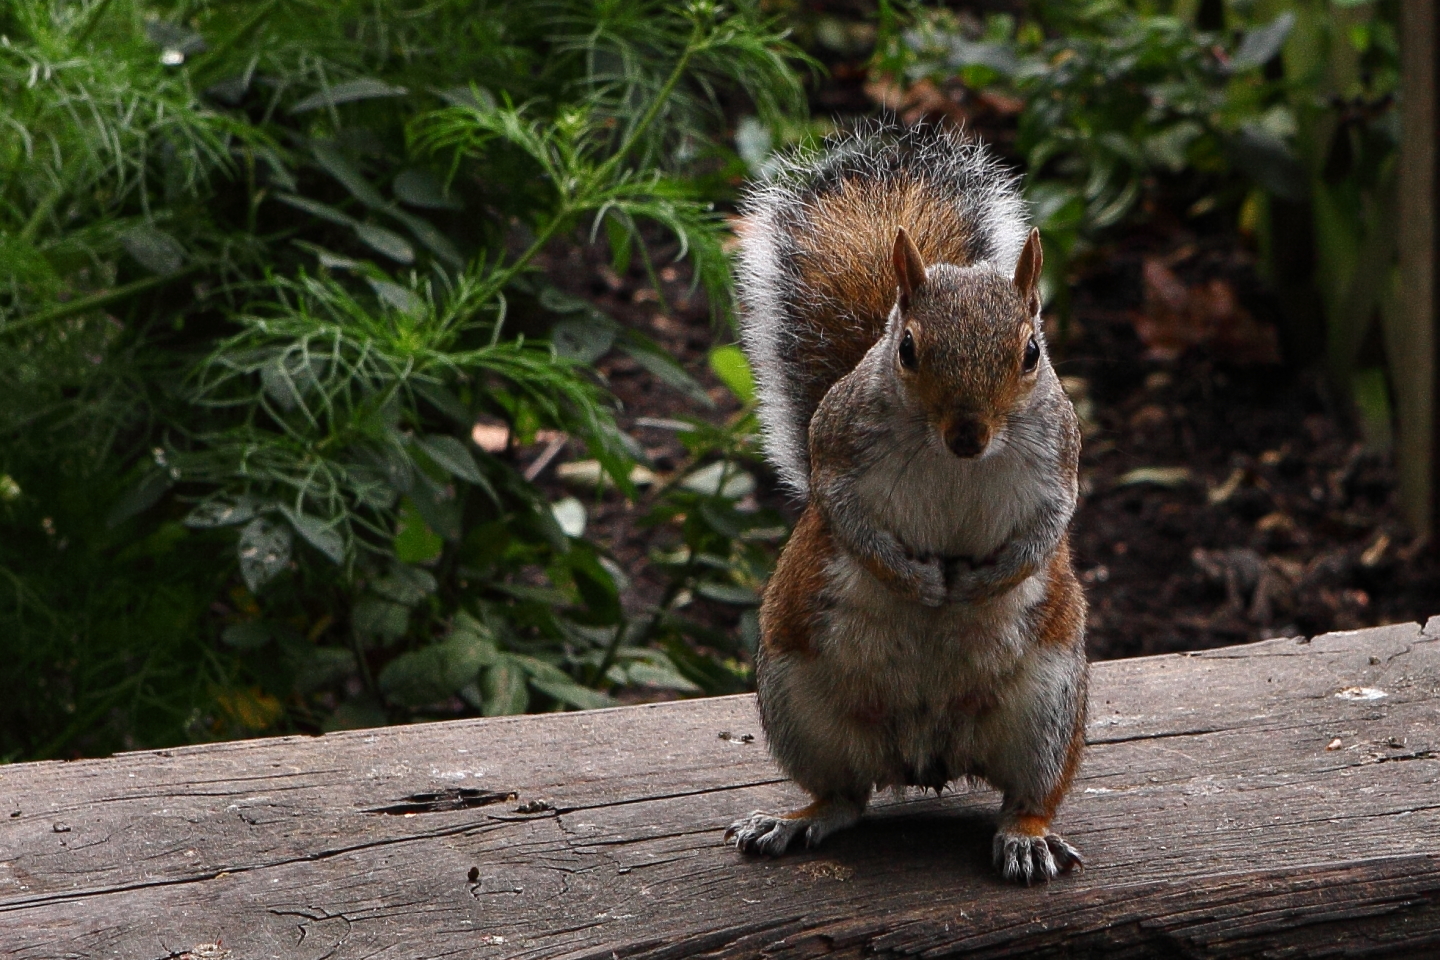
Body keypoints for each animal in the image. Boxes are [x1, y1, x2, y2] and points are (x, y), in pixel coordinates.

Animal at [725, 122, 1082, 886]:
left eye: (1031, 353)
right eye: (910, 349)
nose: (968, 433)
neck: (954, 461)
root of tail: (927, 757)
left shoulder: (1061, 463)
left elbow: (1047, 528)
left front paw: (979, 584)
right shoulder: (836, 452)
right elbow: (850, 520)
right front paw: (918, 581)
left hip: (1048, 707)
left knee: (1031, 793)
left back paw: (1027, 837)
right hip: (800, 704)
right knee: (844, 796)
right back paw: (792, 821)